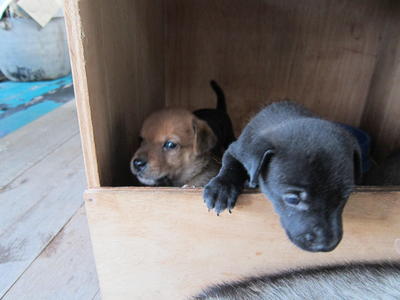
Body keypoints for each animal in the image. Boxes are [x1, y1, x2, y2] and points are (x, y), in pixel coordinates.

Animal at [205, 102, 360, 252]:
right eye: (292, 199)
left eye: (345, 196)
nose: (326, 245)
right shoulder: (235, 150)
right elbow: (230, 166)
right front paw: (221, 190)